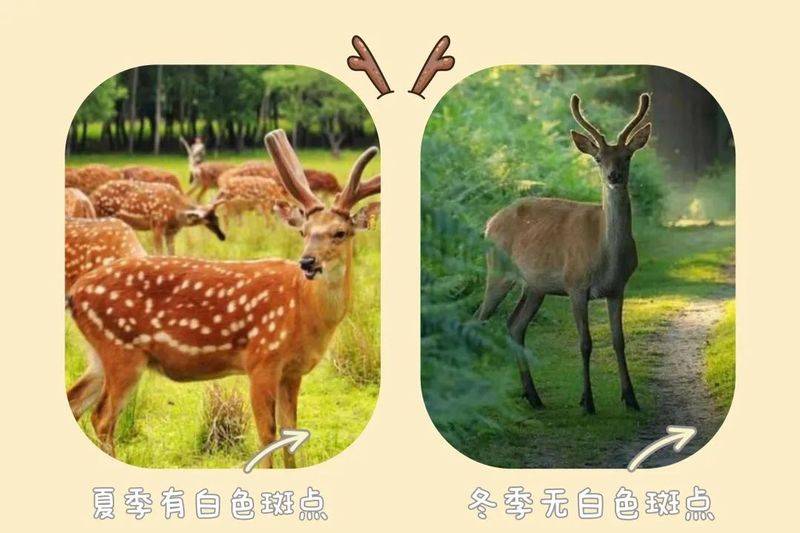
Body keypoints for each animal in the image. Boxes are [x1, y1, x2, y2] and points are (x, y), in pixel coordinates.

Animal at [89, 180, 225, 255]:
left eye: (217, 218)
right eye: (208, 220)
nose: (222, 236)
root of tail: (92, 196)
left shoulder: (171, 232)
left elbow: (172, 254)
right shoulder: (157, 224)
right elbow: (159, 253)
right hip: (102, 214)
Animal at [475, 93, 652, 414]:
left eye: (627, 156)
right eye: (598, 158)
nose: (614, 176)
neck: (606, 255)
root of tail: (489, 222)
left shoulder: (618, 288)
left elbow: (619, 340)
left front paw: (631, 398)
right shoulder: (575, 284)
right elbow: (585, 343)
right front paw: (587, 402)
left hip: (535, 286)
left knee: (514, 325)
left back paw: (533, 396)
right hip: (498, 272)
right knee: (478, 319)